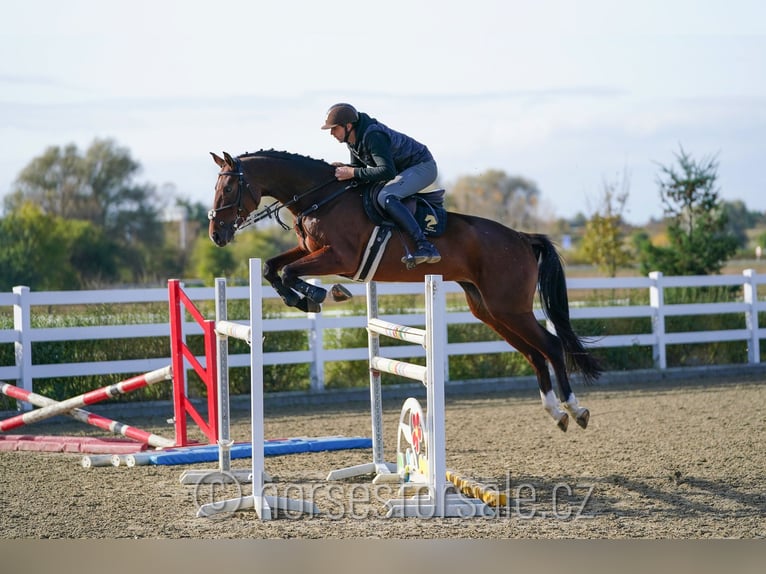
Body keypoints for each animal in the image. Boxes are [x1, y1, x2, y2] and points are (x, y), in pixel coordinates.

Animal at [208, 151, 600, 430]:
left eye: (228, 189)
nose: (216, 234)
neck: (321, 197)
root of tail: (521, 237)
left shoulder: (338, 258)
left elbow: (288, 271)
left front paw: (321, 295)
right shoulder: (310, 250)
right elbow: (273, 268)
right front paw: (305, 299)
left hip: (510, 307)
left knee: (551, 346)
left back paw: (575, 409)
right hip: (489, 309)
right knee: (534, 353)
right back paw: (556, 413)